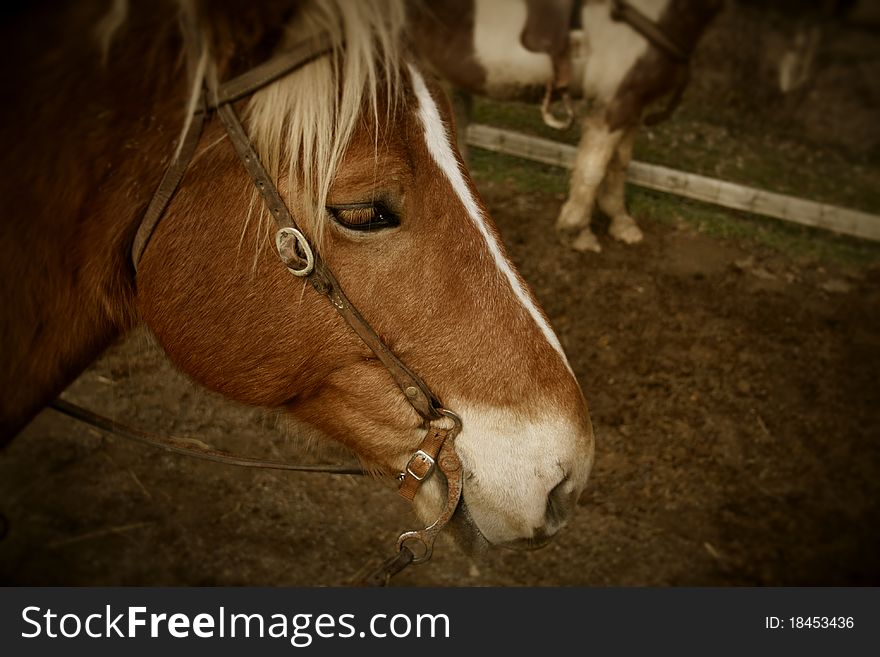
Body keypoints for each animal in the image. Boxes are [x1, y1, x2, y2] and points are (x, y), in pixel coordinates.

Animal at [412, 0, 720, 251]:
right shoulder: (615, 102)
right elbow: (594, 168)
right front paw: (576, 231)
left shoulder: (634, 104)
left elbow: (619, 163)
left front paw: (620, 221)